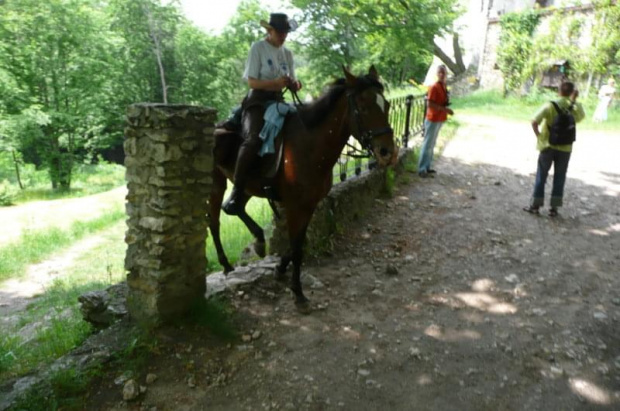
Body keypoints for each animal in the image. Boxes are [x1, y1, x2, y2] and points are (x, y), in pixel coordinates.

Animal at [209, 67, 398, 312]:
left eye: (387, 105)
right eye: (363, 107)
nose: (387, 153)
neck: (310, 145)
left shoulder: (309, 205)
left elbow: (297, 244)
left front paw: (280, 269)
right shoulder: (294, 207)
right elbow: (297, 248)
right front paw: (298, 292)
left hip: (248, 186)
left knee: (234, 207)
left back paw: (259, 240)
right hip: (216, 181)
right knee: (214, 219)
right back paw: (225, 263)